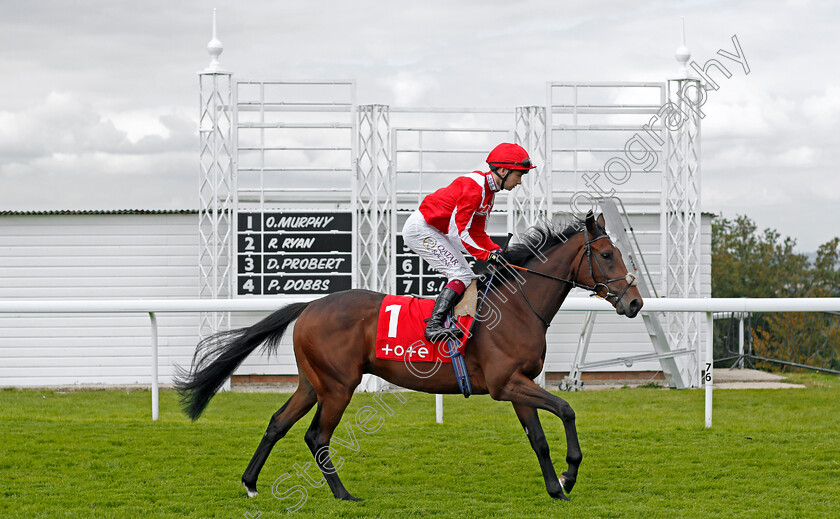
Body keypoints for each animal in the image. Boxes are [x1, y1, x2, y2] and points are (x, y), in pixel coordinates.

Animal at [172, 211, 644, 504]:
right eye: (607, 255)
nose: (635, 302)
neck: (516, 306)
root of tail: (309, 306)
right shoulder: (506, 383)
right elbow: (566, 410)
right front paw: (570, 474)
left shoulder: (518, 385)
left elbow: (539, 439)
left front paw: (556, 487)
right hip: (339, 386)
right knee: (316, 436)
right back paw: (343, 494)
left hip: (312, 383)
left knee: (277, 423)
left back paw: (251, 484)